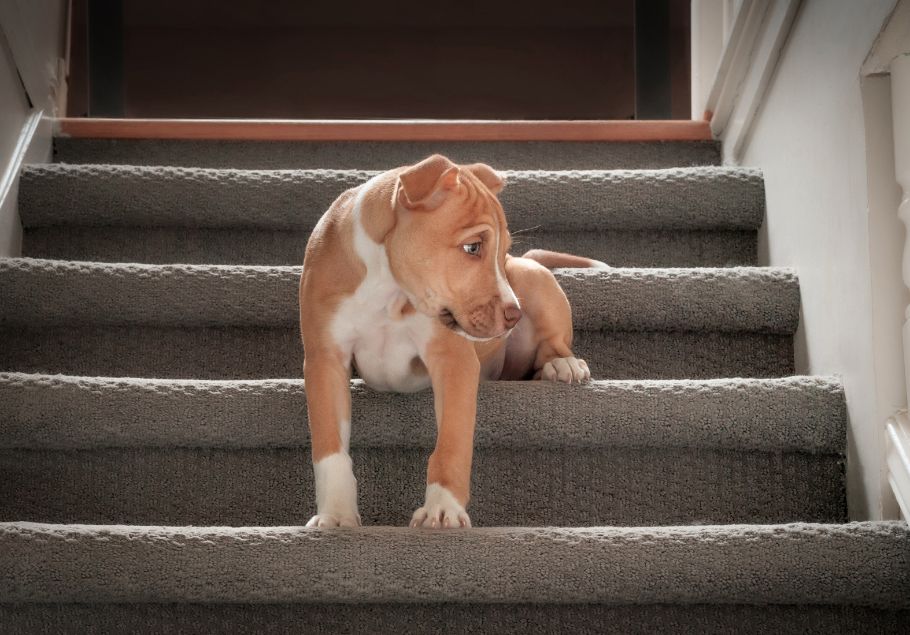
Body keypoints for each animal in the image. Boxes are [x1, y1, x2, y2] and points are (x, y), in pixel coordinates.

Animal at [300, 155, 600, 532]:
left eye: (502, 251)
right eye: (473, 247)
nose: (514, 315)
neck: (388, 289)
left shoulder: (453, 360)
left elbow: (451, 445)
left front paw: (443, 509)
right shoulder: (325, 359)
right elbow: (329, 448)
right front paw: (337, 514)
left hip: (534, 278)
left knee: (553, 342)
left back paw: (562, 364)